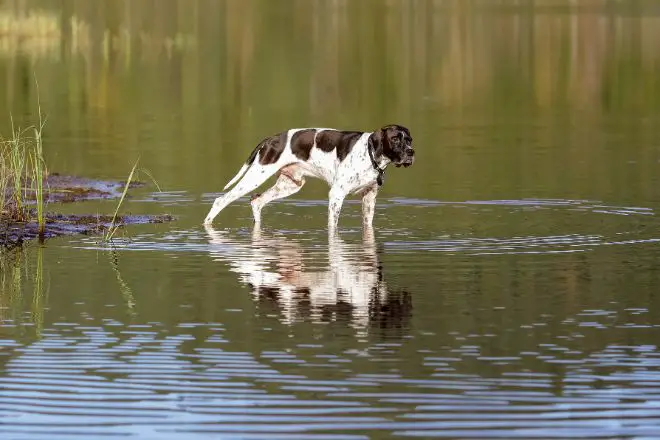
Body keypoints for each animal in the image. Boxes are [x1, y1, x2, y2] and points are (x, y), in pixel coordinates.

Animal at [204, 124, 416, 230]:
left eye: (410, 140)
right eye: (395, 139)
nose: (411, 152)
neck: (369, 154)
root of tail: (270, 139)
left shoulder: (369, 198)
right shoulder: (336, 195)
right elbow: (333, 226)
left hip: (289, 185)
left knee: (256, 201)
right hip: (254, 178)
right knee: (220, 201)